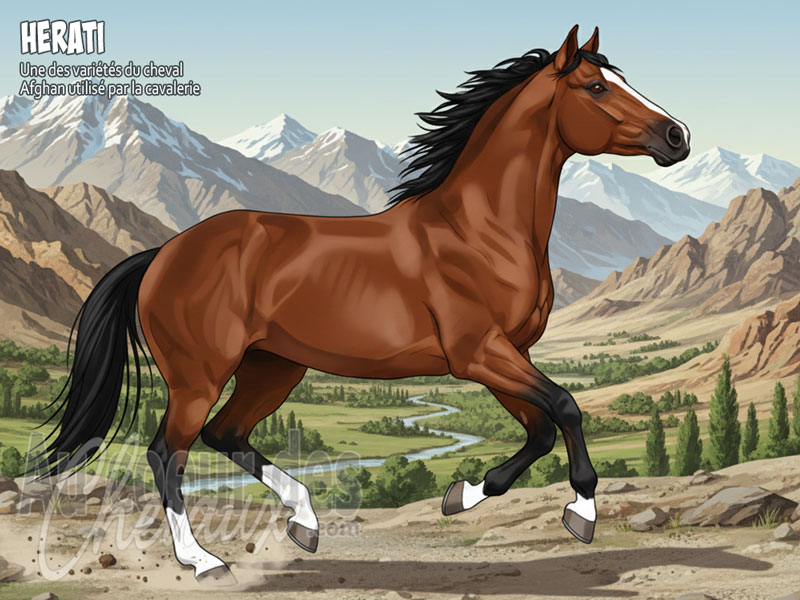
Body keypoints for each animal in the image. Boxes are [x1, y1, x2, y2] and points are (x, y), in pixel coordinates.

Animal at [32, 25, 690, 584]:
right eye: (597, 87)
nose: (678, 136)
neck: (479, 230)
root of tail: (163, 253)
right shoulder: (479, 354)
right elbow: (567, 408)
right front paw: (582, 512)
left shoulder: (506, 355)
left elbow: (542, 429)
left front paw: (462, 495)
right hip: (200, 375)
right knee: (169, 453)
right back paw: (203, 560)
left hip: (274, 366)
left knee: (227, 434)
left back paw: (304, 522)